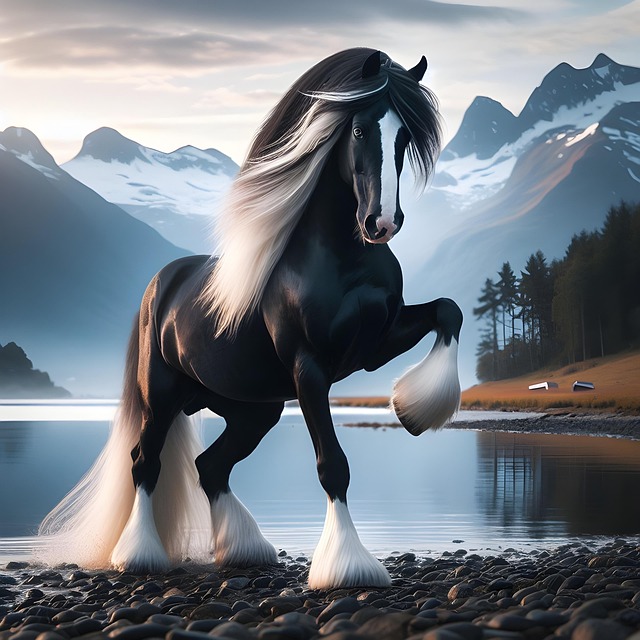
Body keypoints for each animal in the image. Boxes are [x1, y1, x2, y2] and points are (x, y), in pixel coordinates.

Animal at [38, 48, 463, 589]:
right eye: (360, 129)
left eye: (405, 134)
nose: (381, 223)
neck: (342, 257)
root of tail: (161, 285)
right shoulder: (310, 369)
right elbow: (333, 465)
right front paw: (349, 566)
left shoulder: (376, 342)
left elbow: (448, 311)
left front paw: (415, 410)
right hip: (162, 396)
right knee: (144, 462)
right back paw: (139, 555)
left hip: (253, 409)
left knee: (210, 466)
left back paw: (243, 548)